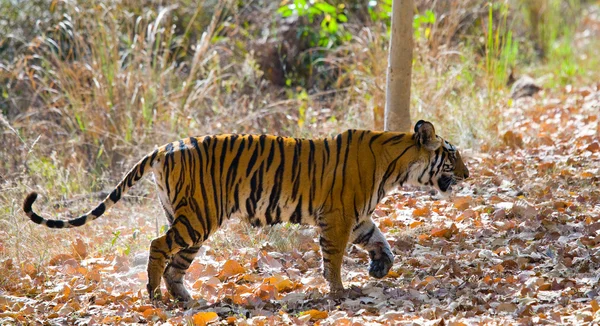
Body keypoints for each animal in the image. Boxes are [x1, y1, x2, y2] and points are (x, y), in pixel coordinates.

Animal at [23, 120, 468, 304]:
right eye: (452, 157)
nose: (468, 173)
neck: (398, 163)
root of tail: (164, 147)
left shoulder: (356, 218)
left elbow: (380, 240)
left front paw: (380, 267)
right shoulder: (339, 218)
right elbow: (333, 259)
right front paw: (341, 292)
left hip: (189, 220)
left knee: (175, 263)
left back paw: (184, 297)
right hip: (197, 217)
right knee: (157, 247)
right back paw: (153, 295)